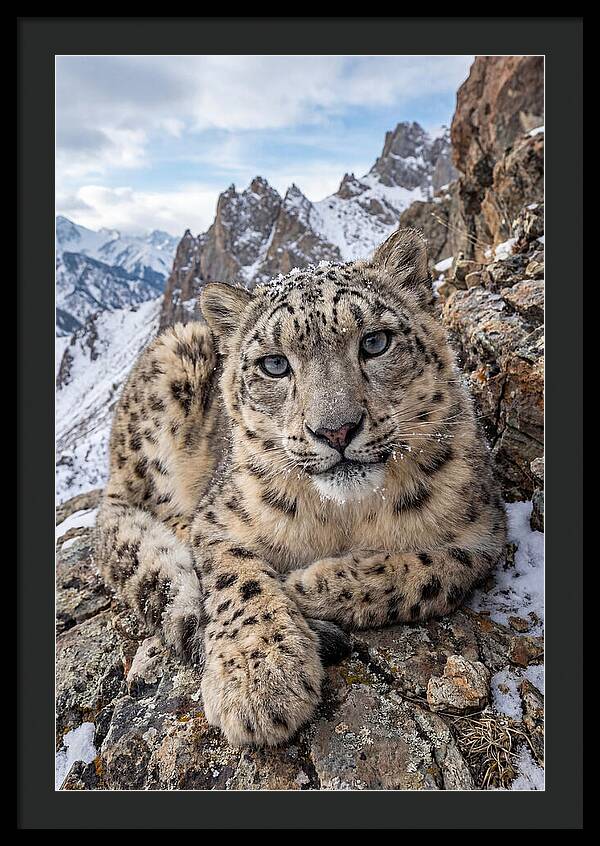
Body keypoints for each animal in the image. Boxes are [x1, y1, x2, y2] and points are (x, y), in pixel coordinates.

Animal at [95, 228, 506, 748]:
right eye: (274, 364)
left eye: (375, 341)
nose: (336, 430)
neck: (345, 516)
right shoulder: (219, 520)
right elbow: (238, 580)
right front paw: (259, 680)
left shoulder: (483, 532)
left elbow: (429, 572)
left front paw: (306, 585)